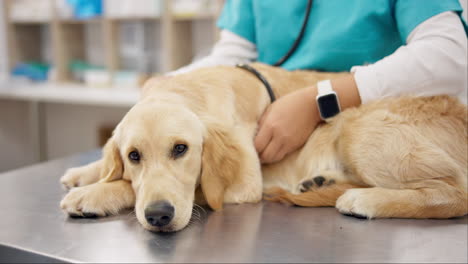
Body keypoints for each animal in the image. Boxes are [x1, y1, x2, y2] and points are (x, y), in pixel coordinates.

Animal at [60, 63, 466, 231]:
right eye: (134, 156)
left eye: (181, 149)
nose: (159, 216)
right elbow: (112, 167)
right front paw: (86, 173)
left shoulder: (244, 185)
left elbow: (136, 187)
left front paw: (94, 194)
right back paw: (321, 183)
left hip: (358, 129)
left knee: (454, 194)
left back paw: (364, 199)